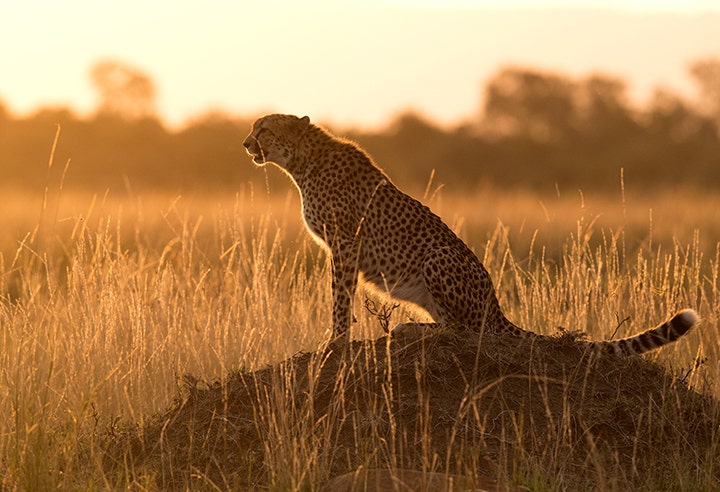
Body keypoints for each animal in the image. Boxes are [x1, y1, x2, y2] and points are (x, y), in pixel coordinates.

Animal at [242, 114, 696, 356]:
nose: (246, 143)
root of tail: (496, 306)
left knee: (466, 331)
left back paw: (408, 331)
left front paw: (334, 342)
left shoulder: (345, 243)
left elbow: (340, 297)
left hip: (437, 256)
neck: (303, 163)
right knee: (455, 326)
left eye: (264, 129)